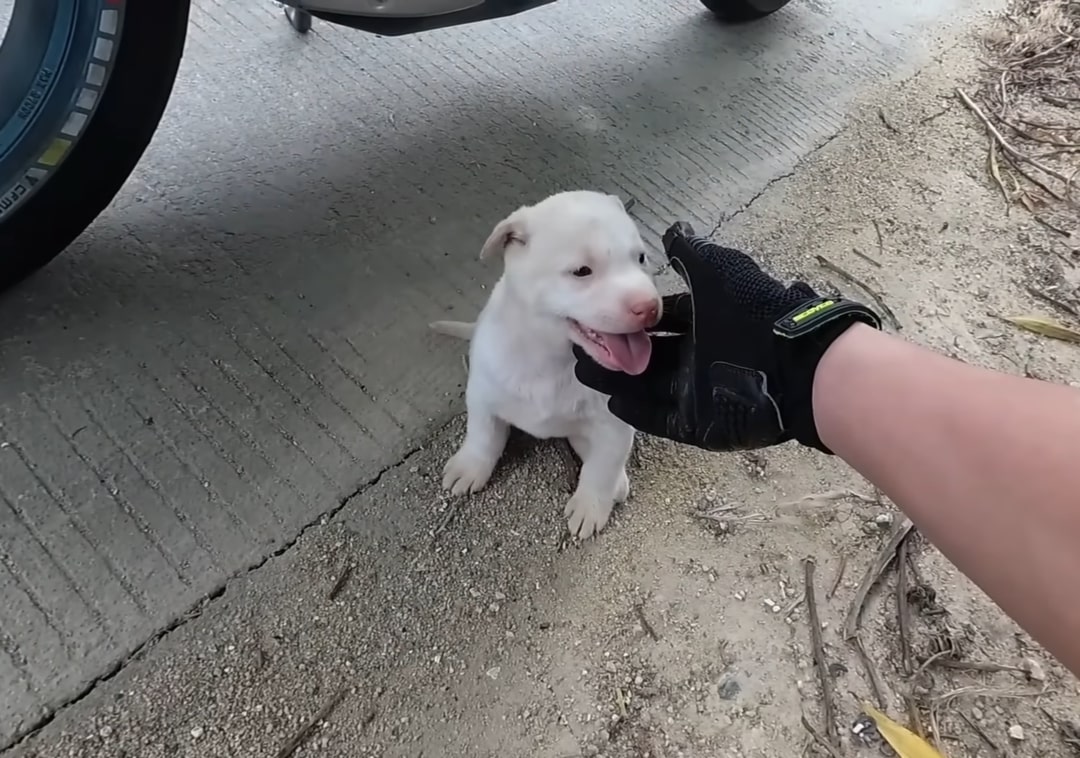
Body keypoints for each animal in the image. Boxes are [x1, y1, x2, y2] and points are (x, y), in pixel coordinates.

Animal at [429, 190, 656, 537]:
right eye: (582, 271)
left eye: (640, 258)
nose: (651, 307)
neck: (555, 358)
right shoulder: (482, 396)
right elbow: (482, 435)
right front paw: (470, 466)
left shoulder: (614, 424)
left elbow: (603, 467)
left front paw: (591, 505)